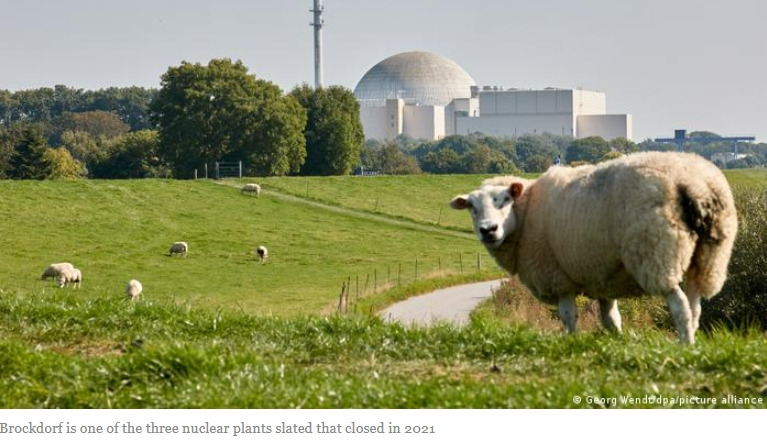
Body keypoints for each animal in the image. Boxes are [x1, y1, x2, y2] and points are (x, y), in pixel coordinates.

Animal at [450, 152, 736, 346]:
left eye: (506, 199)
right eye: (472, 207)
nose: (488, 230)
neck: (527, 210)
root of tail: (694, 183)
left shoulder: (557, 277)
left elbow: (568, 316)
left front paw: (571, 341)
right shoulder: (602, 275)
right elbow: (610, 318)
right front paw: (618, 342)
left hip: (657, 254)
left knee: (679, 306)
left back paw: (683, 344)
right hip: (708, 257)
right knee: (695, 305)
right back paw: (693, 341)